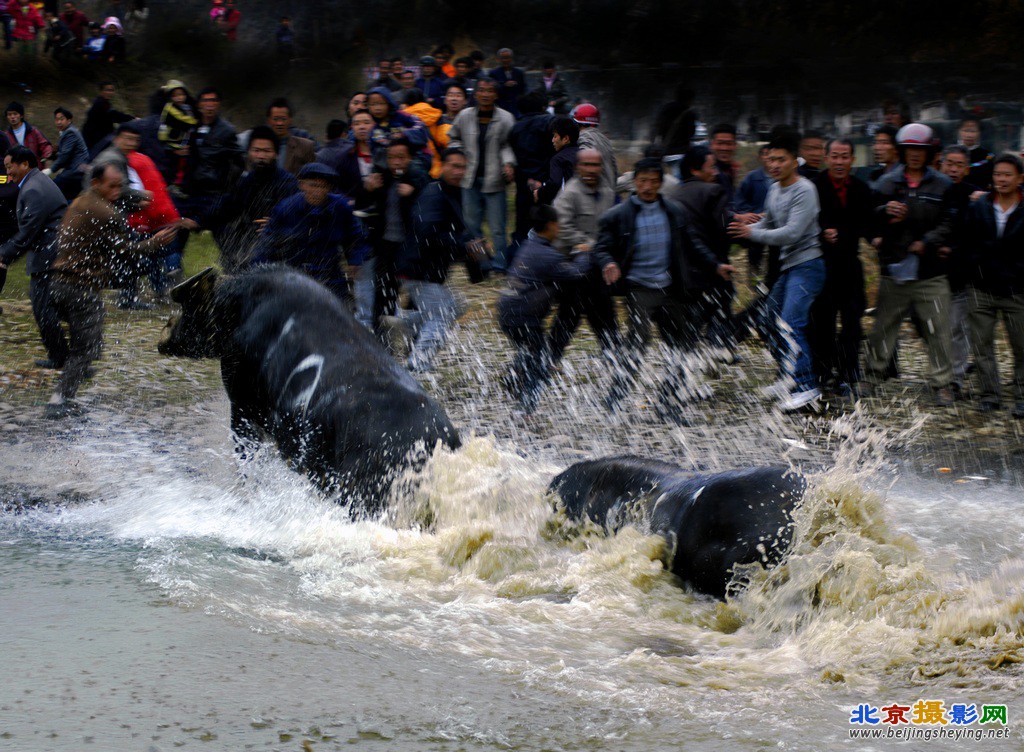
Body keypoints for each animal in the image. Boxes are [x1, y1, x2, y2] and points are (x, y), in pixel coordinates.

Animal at [158, 264, 460, 512]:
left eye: (188, 308)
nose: (165, 334)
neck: (239, 310)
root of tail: (432, 440)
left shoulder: (243, 406)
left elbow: (249, 463)